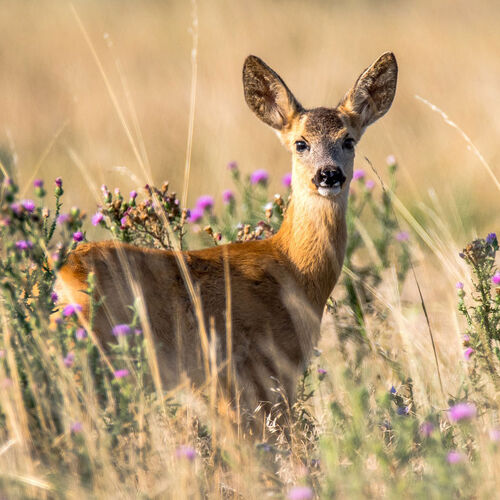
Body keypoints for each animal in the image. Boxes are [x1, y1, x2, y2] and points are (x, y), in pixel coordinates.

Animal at [55, 51, 398, 434]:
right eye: (300, 143)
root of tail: (64, 273)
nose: (329, 175)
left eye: (348, 140)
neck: (293, 269)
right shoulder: (262, 368)